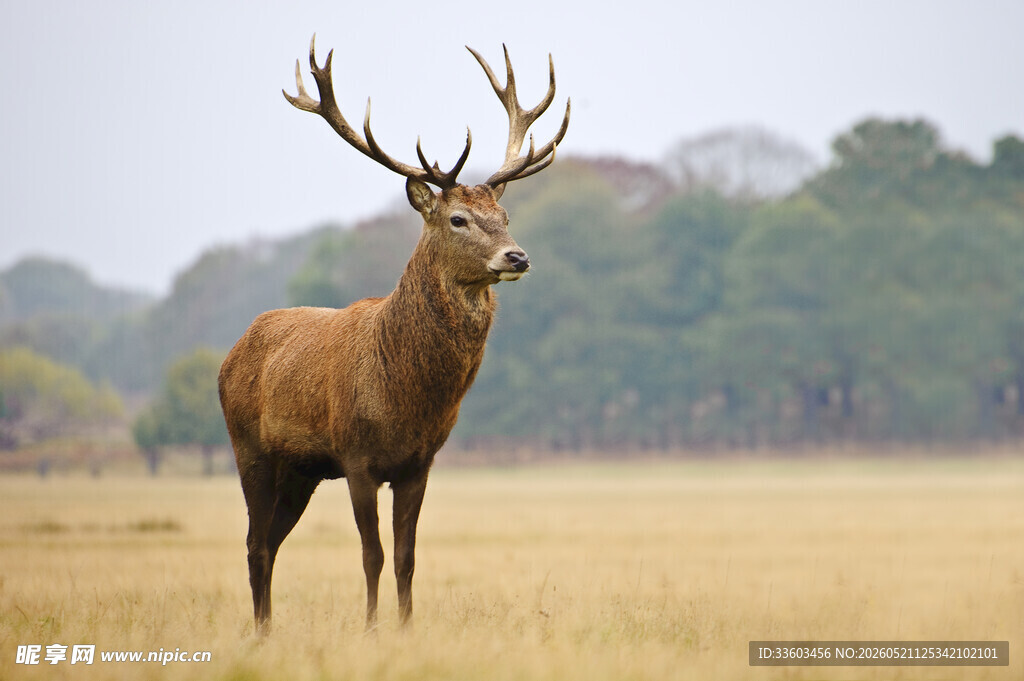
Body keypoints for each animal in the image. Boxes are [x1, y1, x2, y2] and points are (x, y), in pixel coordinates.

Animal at [218, 36, 569, 635]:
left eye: (503, 215)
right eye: (457, 219)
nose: (517, 256)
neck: (403, 396)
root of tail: (231, 353)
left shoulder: (419, 462)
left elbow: (407, 555)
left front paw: (405, 627)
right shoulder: (356, 457)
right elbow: (372, 554)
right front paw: (372, 628)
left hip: (301, 472)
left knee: (269, 542)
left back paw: (267, 628)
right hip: (251, 450)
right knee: (254, 545)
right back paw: (262, 633)